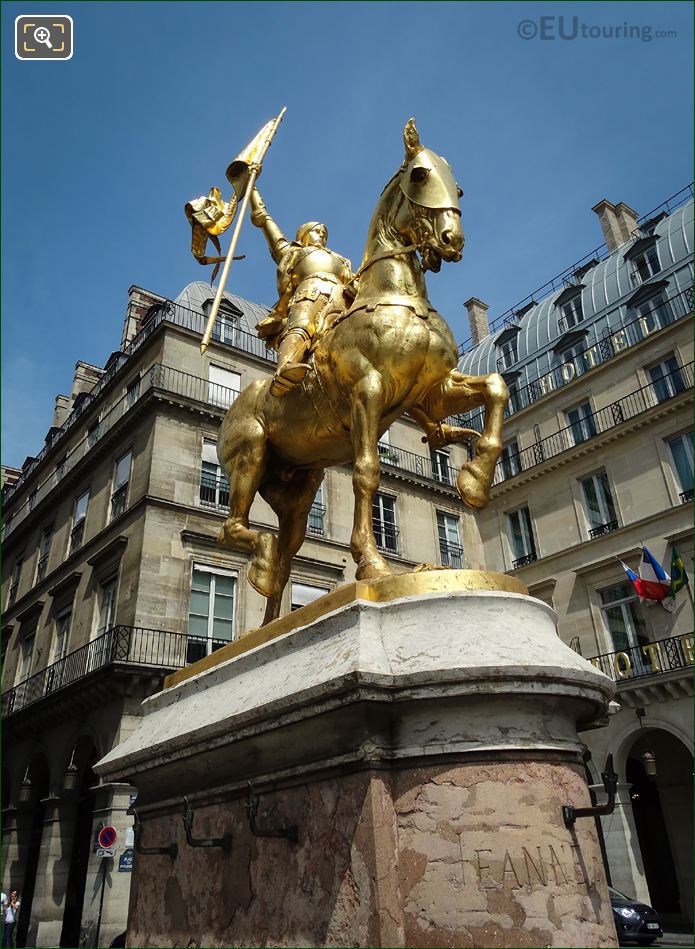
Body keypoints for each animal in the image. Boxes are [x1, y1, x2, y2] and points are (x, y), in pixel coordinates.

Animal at [220, 120, 508, 624]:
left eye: (459, 186)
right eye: (419, 175)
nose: (452, 241)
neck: (397, 295)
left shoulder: (432, 392)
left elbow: (495, 386)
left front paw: (474, 478)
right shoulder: (367, 393)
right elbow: (367, 472)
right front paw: (372, 565)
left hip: (296, 491)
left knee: (286, 555)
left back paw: (272, 616)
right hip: (249, 453)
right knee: (233, 528)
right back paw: (261, 565)